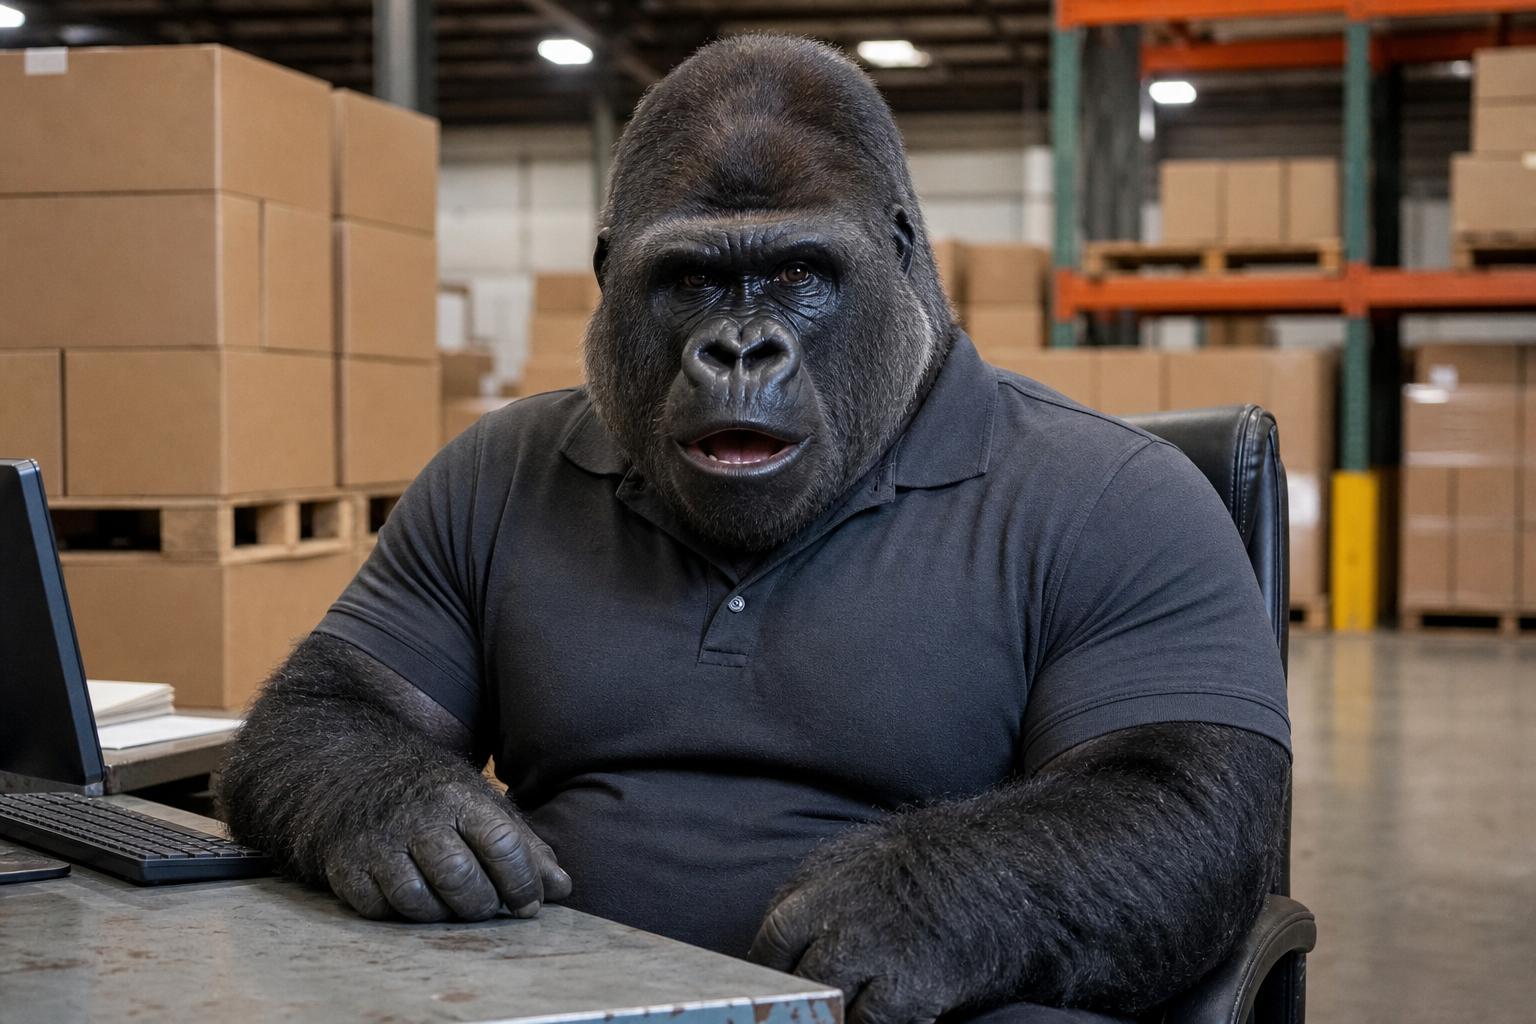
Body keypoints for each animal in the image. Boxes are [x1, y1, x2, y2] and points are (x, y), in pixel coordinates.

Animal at [219, 35, 1291, 1024]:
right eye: (692, 281)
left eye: (798, 271)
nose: (740, 350)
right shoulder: (453, 479)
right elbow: (350, 694)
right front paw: (415, 813)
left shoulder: (1151, 519)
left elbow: (1164, 775)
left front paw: (903, 907)